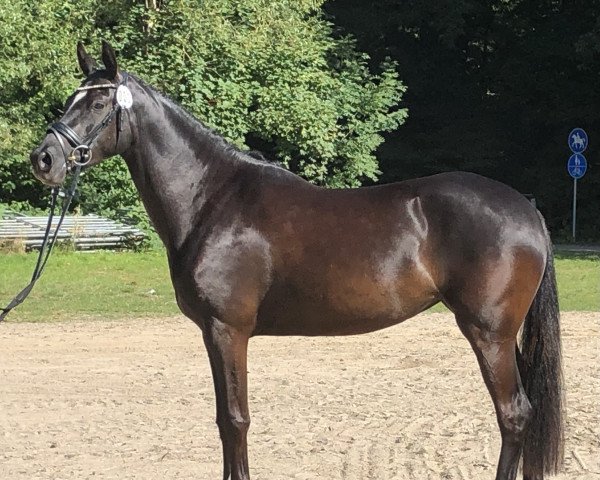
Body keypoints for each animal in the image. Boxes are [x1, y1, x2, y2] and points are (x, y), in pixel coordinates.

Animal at [29, 43, 564, 478]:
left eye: (99, 103)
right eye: (70, 100)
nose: (44, 159)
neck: (212, 198)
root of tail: (528, 210)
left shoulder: (228, 330)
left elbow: (236, 420)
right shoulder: (212, 333)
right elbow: (223, 420)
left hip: (489, 333)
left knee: (513, 414)